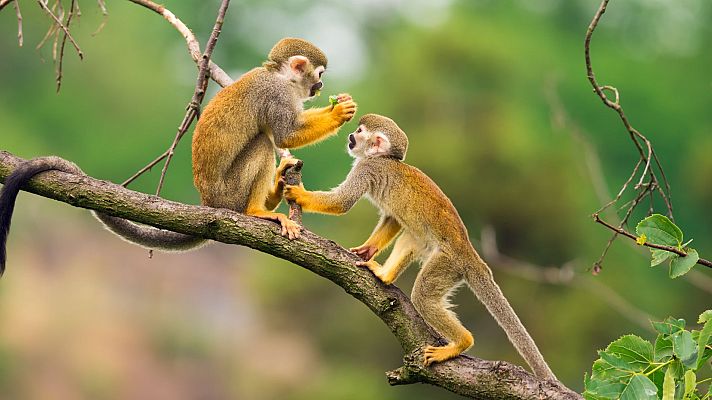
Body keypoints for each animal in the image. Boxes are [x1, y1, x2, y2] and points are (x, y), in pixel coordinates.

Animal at [0, 38, 357, 273]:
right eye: (319, 74)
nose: (320, 87)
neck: (280, 76)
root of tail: (210, 204)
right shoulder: (277, 94)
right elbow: (285, 134)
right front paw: (339, 113)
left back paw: (276, 189)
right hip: (230, 193)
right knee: (262, 143)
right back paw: (258, 210)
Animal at [282, 114, 557, 380]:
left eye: (359, 132)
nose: (350, 136)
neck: (383, 159)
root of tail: (471, 254)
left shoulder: (367, 168)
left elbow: (342, 203)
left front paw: (299, 195)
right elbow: (392, 218)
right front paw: (367, 250)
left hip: (448, 263)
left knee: (423, 295)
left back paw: (461, 342)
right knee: (412, 236)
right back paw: (385, 275)